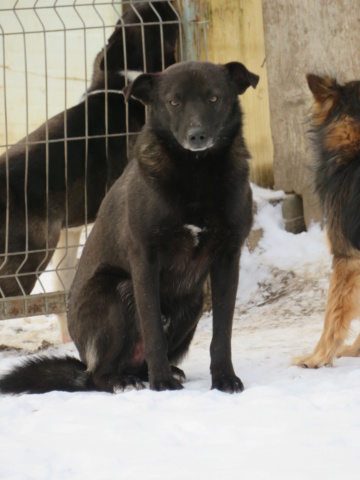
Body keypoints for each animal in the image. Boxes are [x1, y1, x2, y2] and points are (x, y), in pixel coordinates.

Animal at [0, 60, 258, 396]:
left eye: (213, 98)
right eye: (173, 102)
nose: (197, 136)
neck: (196, 173)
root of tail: (84, 362)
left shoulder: (228, 258)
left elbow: (222, 332)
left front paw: (224, 377)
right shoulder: (144, 259)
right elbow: (152, 329)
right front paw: (162, 383)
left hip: (193, 300)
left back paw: (160, 373)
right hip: (113, 291)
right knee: (98, 376)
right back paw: (125, 380)